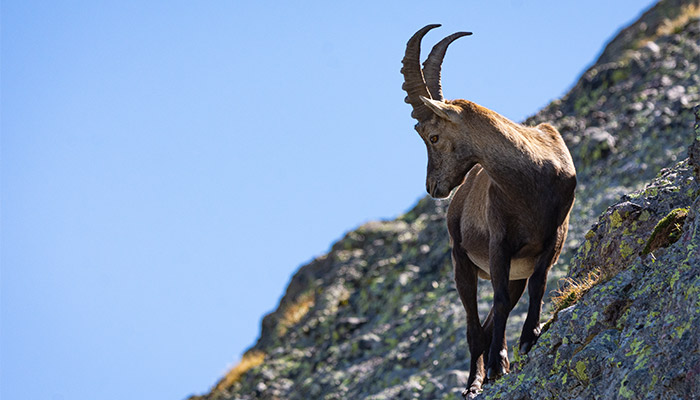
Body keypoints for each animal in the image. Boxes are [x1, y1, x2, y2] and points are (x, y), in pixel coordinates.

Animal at [402, 25, 576, 396]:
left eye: (433, 136)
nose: (432, 187)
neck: (529, 178)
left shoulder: (551, 239)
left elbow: (538, 284)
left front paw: (530, 337)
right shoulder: (500, 242)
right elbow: (497, 299)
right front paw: (499, 363)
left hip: (514, 272)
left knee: (489, 319)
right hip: (462, 261)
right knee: (474, 326)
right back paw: (474, 382)